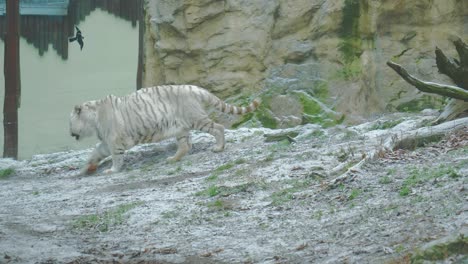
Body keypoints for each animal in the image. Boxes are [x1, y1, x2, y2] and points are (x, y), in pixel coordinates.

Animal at [68, 85, 260, 175]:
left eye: (70, 123)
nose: (69, 133)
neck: (94, 119)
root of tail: (195, 88)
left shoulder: (114, 141)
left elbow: (116, 158)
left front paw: (112, 171)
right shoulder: (106, 142)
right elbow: (95, 153)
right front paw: (84, 169)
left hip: (196, 119)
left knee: (218, 127)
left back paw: (219, 148)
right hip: (181, 128)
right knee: (185, 146)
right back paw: (173, 159)